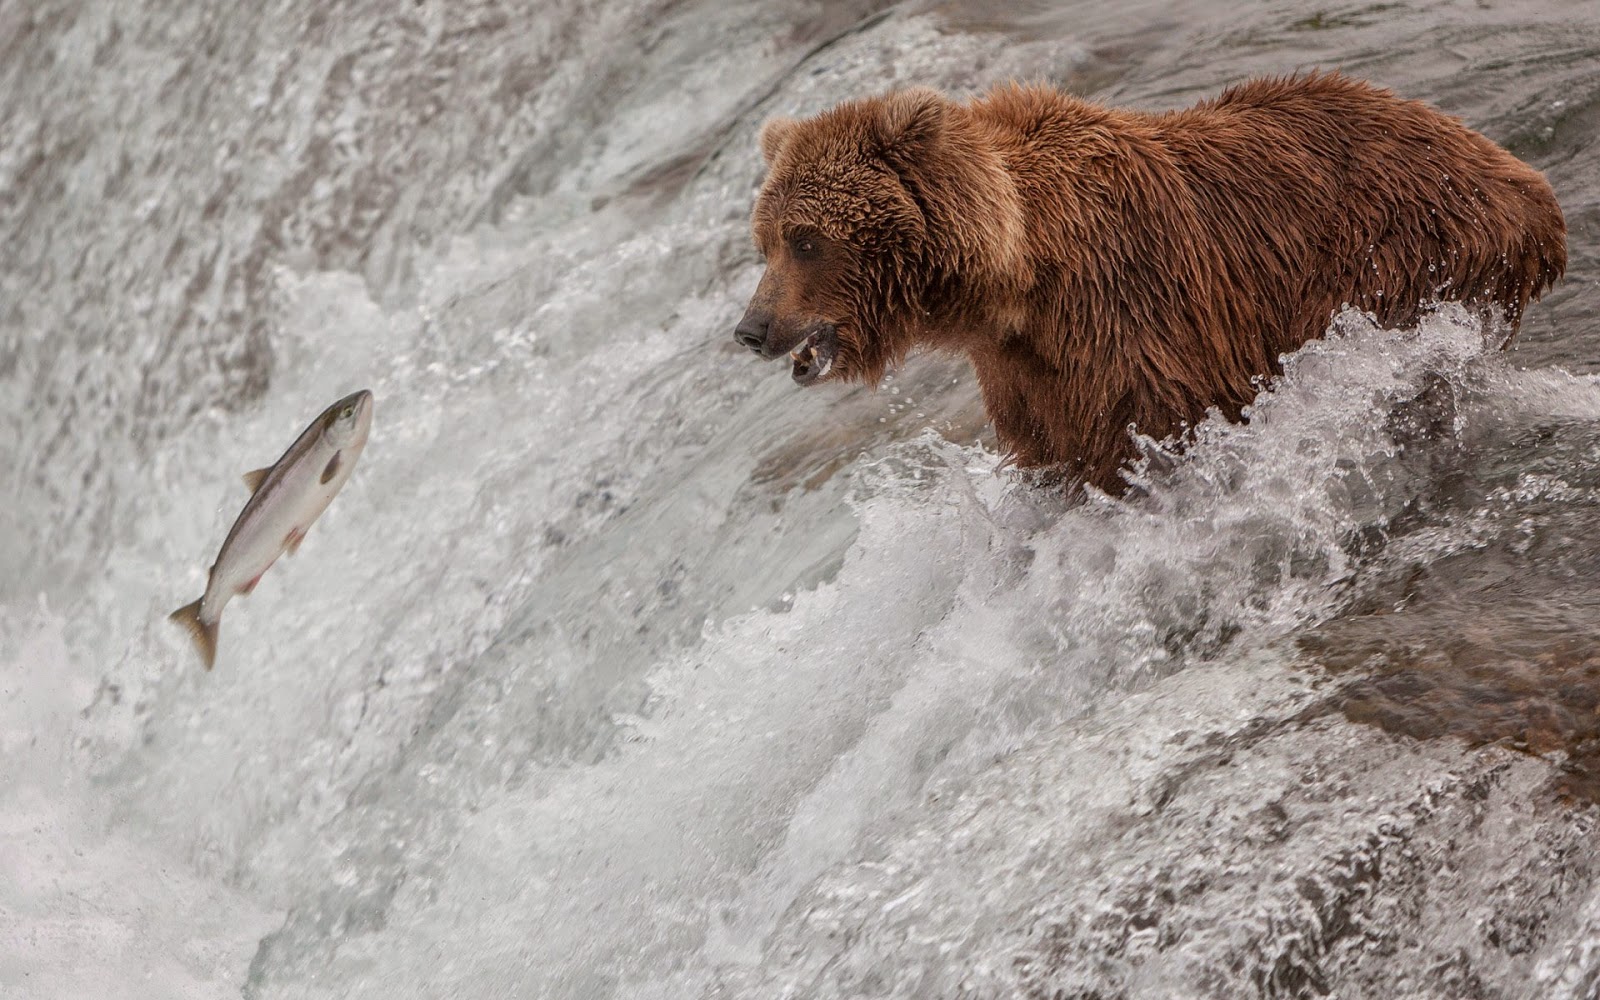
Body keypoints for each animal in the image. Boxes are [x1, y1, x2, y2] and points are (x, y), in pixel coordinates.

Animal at [732, 72, 1566, 494]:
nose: (750, 329)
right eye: (764, 240)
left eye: (807, 240)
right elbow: (1056, 457)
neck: (1016, 283)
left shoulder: (1133, 317)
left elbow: (1154, 429)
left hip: (1401, 260)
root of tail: (1525, 182)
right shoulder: (1028, 378)